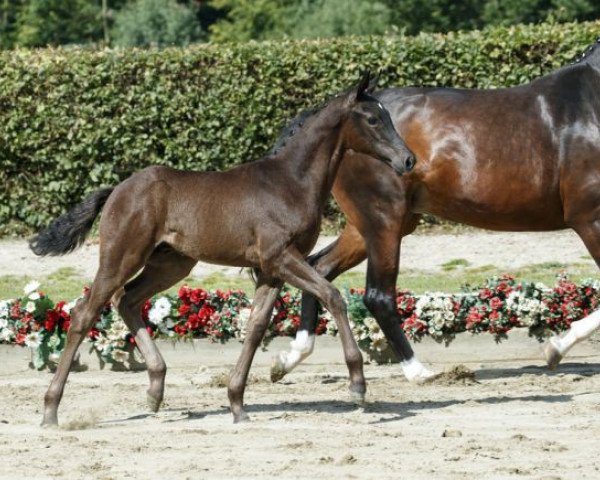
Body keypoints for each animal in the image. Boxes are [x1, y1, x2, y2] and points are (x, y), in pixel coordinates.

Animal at [29, 73, 418, 426]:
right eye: (372, 119)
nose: (408, 161)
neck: (290, 182)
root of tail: (118, 190)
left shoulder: (271, 269)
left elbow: (257, 325)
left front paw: (237, 403)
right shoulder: (280, 257)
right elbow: (333, 296)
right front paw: (358, 385)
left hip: (172, 264)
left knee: (126, 300)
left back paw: (155, 390)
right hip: (122, 255)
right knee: (85, 313)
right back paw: (51, 410)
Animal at [274, 38, 600, 382]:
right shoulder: (590, 219)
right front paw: (555, 348)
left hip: (370, 226)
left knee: (320, 268)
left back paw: (288, 359)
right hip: (384, 220)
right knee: (377, 295)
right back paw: (418, 371)